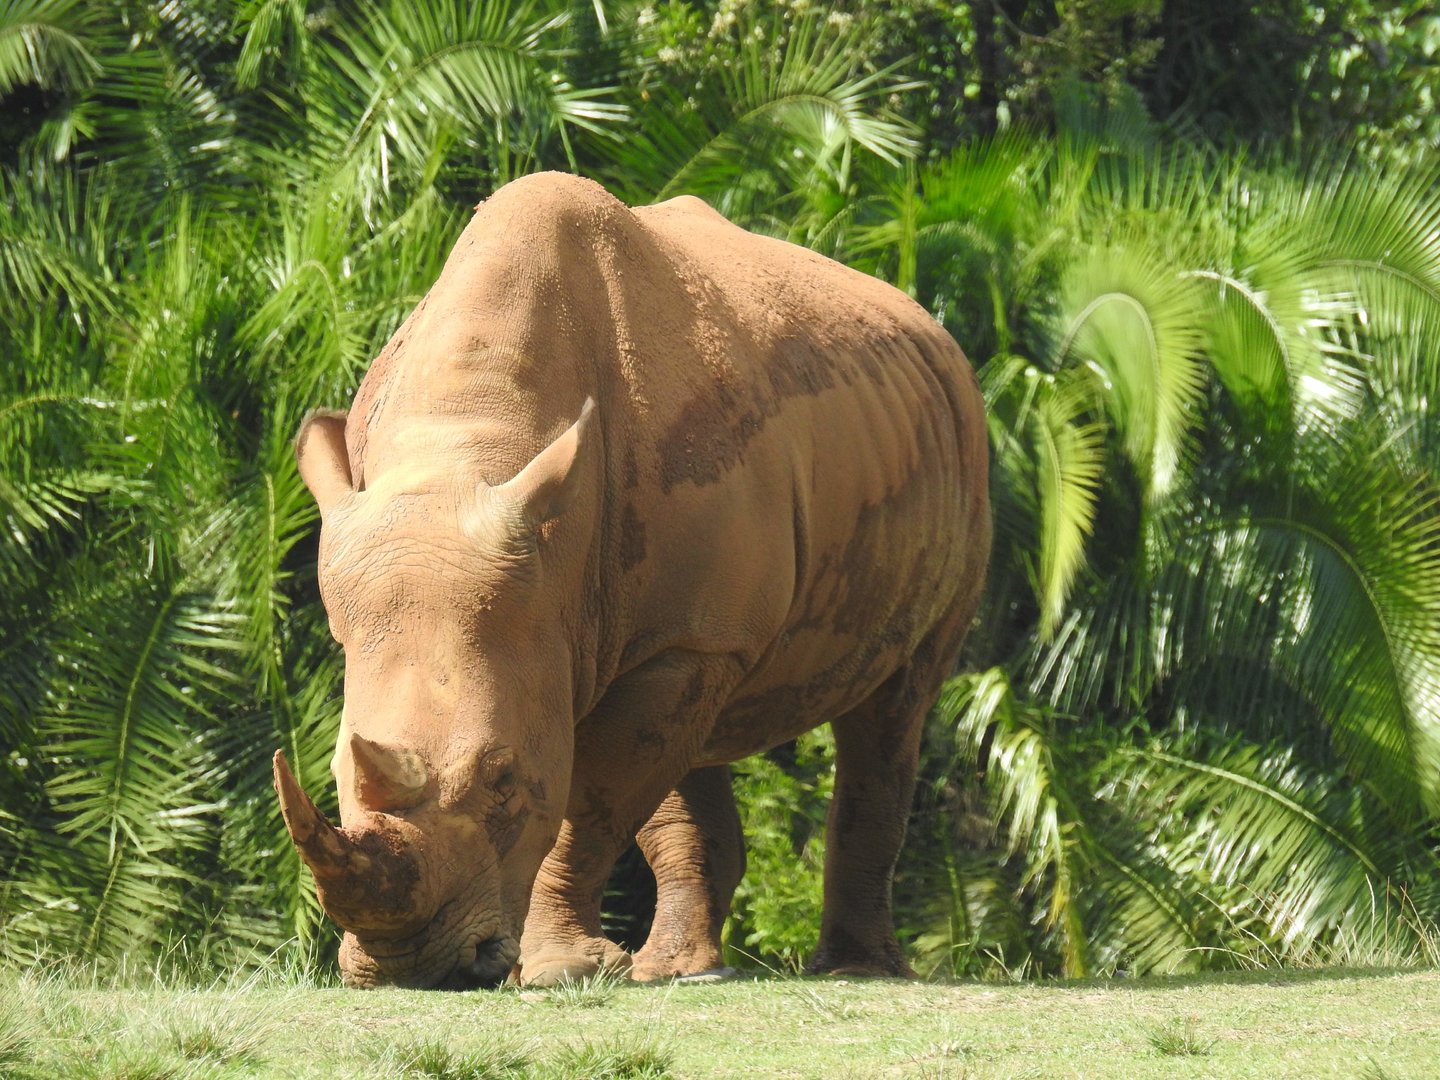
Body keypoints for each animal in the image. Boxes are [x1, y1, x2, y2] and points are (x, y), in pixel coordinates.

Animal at [274, 172, 990, 989]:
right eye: (333, 772)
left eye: (504, 779)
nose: (410, 964)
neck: (470, 438)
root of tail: (933, 331)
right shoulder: (648, 630)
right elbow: (627, 790)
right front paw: (593, 967)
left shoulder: (681, 638)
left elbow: (588, 802)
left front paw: (560, 970)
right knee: (697, 746)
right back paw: (678, 971)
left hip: (963, 454)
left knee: (895, 704)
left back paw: (854, 972)